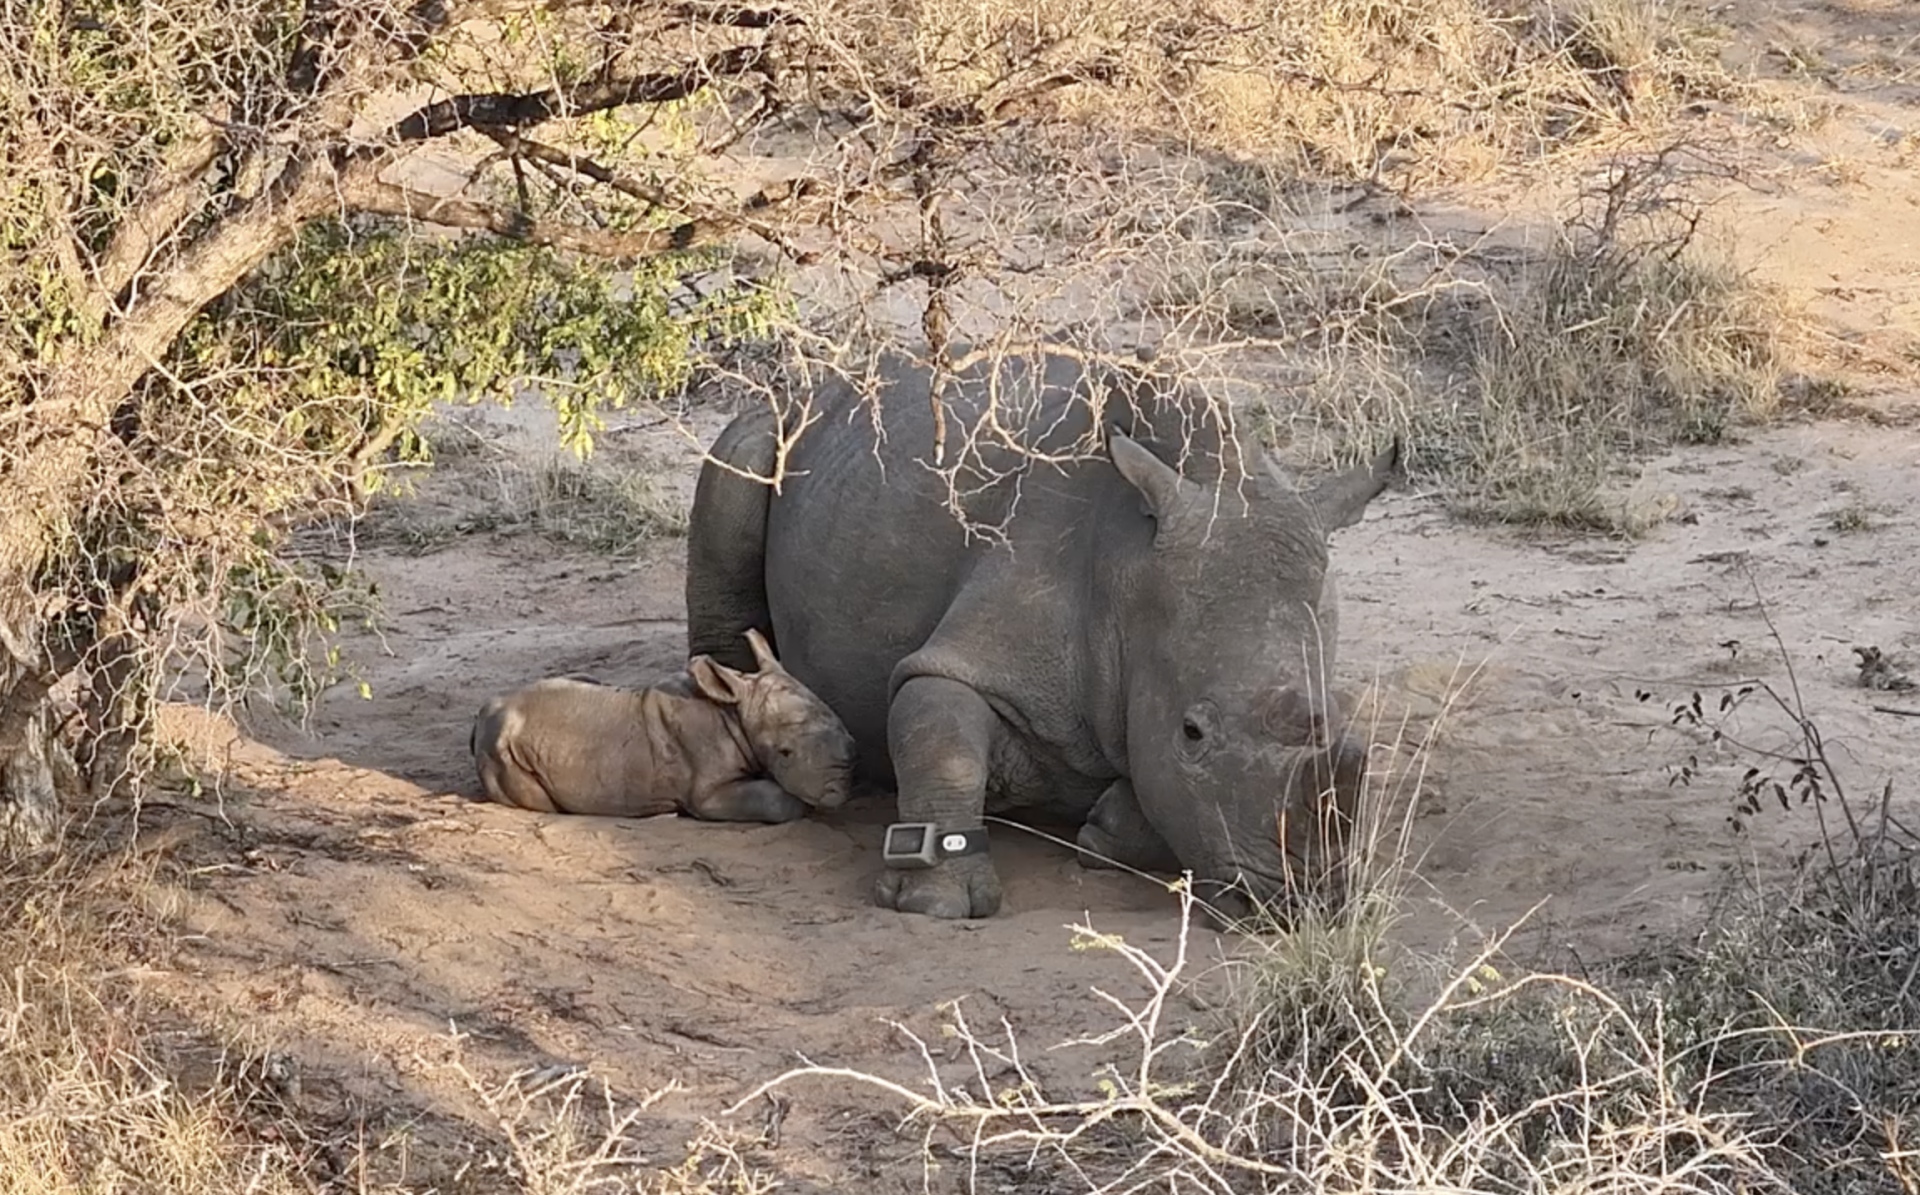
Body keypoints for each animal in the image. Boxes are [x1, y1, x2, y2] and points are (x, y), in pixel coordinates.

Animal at [469, 629, 856, 822]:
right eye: (785, 752)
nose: (840, 791)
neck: (733, 710)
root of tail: (483, 714)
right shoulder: (706, 794)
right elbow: (776, 802)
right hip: (501, 748)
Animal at [685, 349, 1396, 921]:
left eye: (1340, 726)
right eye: (1192, 733)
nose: (1298, 904)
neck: (1128, 582)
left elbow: (1155, 790)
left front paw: (1107, 829)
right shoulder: (961, 654)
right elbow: (939, 735)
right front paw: (936, 903)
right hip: (770, 421)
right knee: (739, 470)